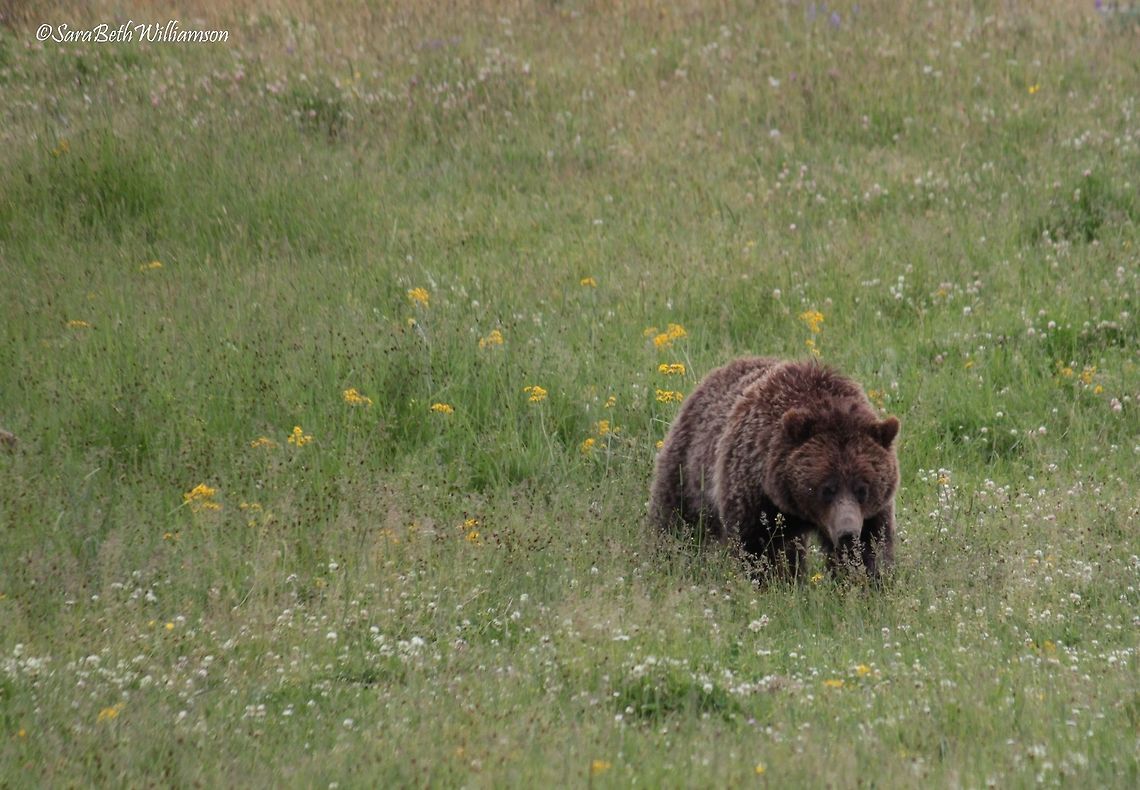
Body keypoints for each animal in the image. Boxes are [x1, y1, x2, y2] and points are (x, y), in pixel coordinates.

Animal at [649, 356, 900, 581]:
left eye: (862, 488)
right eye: (827, 488)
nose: (847, 533)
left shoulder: (872, 513)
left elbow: (871, 547)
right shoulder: (754, 492)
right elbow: (758, 547)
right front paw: (774, 583)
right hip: (689, 467)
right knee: (676, 519)